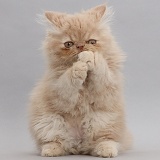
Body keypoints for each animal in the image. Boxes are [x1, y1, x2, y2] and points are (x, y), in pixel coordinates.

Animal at [28, 4, 132, 158]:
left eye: (92, 41)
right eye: (68, 44)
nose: (81, 46)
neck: (85, 82)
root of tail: (79, 144)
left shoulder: (108, 84)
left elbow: (101, 68)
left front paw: (89, 57)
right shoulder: (58, 89)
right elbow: (68, 80)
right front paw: (78, 68)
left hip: (106, 121)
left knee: (106, 140)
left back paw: (106, 151)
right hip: (47, 121)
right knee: (54, 141)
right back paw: (50, 150)